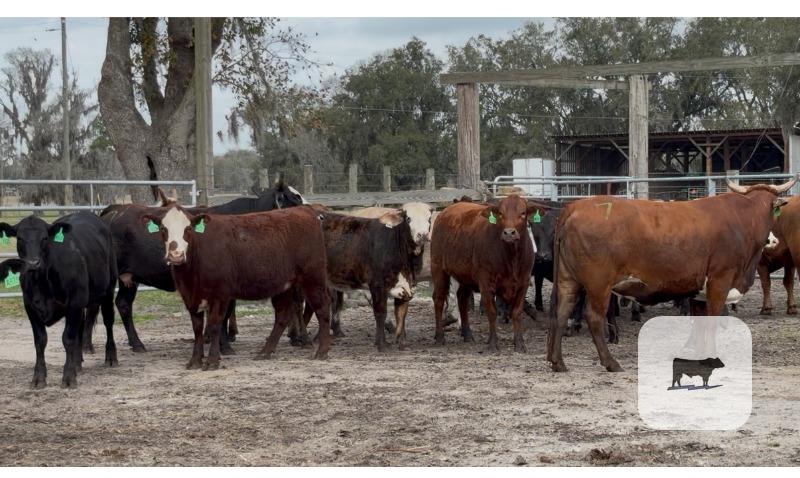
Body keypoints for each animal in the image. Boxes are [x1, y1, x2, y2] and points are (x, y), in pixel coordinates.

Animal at [0, 213, 118, 388]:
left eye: (44, 238)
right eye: (20, 238)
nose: (33, 263)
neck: (42, 282)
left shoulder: (74, 303)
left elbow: (67, 339)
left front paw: (68, 377)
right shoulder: (30, 307)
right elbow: (40, 341)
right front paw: (38, 377)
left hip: (109, 288)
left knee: (108, 321)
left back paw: (110, 357)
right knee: (80, 327)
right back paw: (77, 363)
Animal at [84, 181, 307, 354]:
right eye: (294, 199)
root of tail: (115, 210)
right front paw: (224, 345)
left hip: (129, 278)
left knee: (123, 304)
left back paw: (136, 344)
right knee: (96, 304)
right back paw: (88, 346)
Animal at [143, 204, 331, 369]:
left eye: (188, 229)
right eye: (163, 229)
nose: (176, 255)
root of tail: (304, 210)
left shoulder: (220, 295)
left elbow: (214, 325)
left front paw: (212, 361)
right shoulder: (190, 296)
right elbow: (197, 329)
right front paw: (195, 361)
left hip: (313, 278)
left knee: (322, 309)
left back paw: (322, 351)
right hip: (284, 285)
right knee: (282, 316)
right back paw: (265, 351)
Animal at [431, 195, 547, 352]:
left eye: (523, 213)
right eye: (501, 214)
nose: (509, 233)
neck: (511, 258)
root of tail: (446, 211)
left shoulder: (523, 282)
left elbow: (516, 312)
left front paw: (519, 344)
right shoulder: (486, 282)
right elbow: (492, 312)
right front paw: (493, 343)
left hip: (465, 275)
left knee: (462, 298)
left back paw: (467, 335)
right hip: (438, 268)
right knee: (438, 299)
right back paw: (439, 337)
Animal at [547, 179, 795, 373]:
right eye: (774, 211)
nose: (773, 240)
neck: (744, 219)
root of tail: (575, 206)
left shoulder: (699, 291)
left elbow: (700, 325)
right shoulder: (719, 282)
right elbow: (711, 322)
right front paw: (711, 357)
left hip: (568, 280)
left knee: (561, 313)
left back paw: (558, 362)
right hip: (599, 285)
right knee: (594, 318)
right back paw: (611, 362)